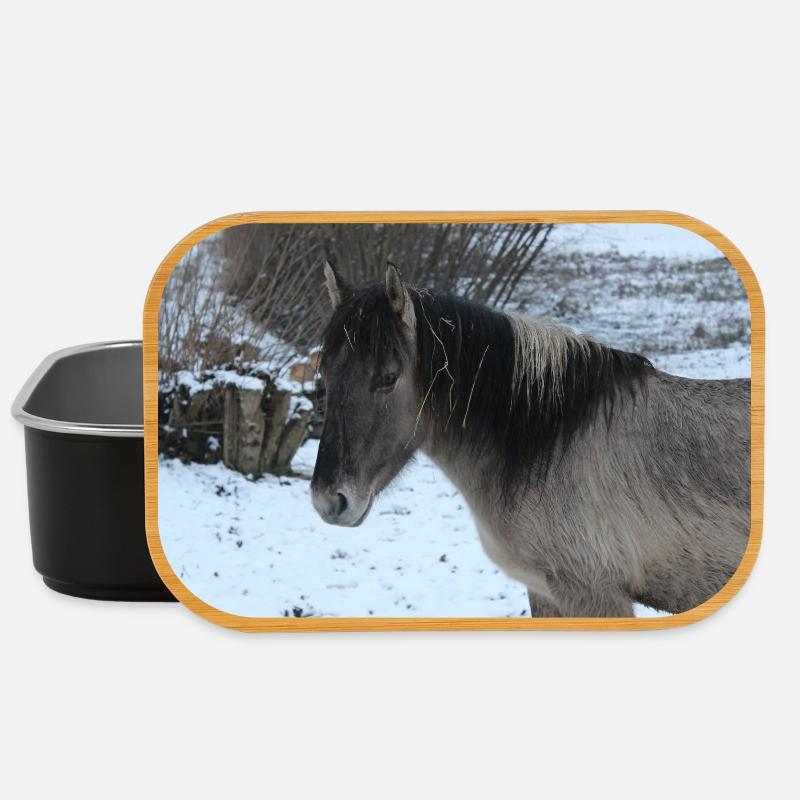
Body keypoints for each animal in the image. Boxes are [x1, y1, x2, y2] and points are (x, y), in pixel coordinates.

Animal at [310, 262, 751, 617]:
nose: (329, 501)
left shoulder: (595, 597)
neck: (552, 446)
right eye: (326, 373)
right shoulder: (546, 593)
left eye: (389, 377)